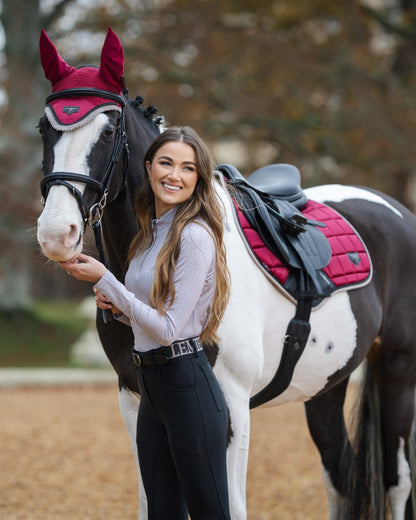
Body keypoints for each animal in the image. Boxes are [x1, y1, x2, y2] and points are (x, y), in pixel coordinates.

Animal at [35, 28, 416, 520]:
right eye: (44, 128)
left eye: (108, 130)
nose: (56, 232)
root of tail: (396, 212)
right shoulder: (133, 398)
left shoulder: (232, 405)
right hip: (327, 386)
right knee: (342, 476)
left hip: (398, 369)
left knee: (396, 481)